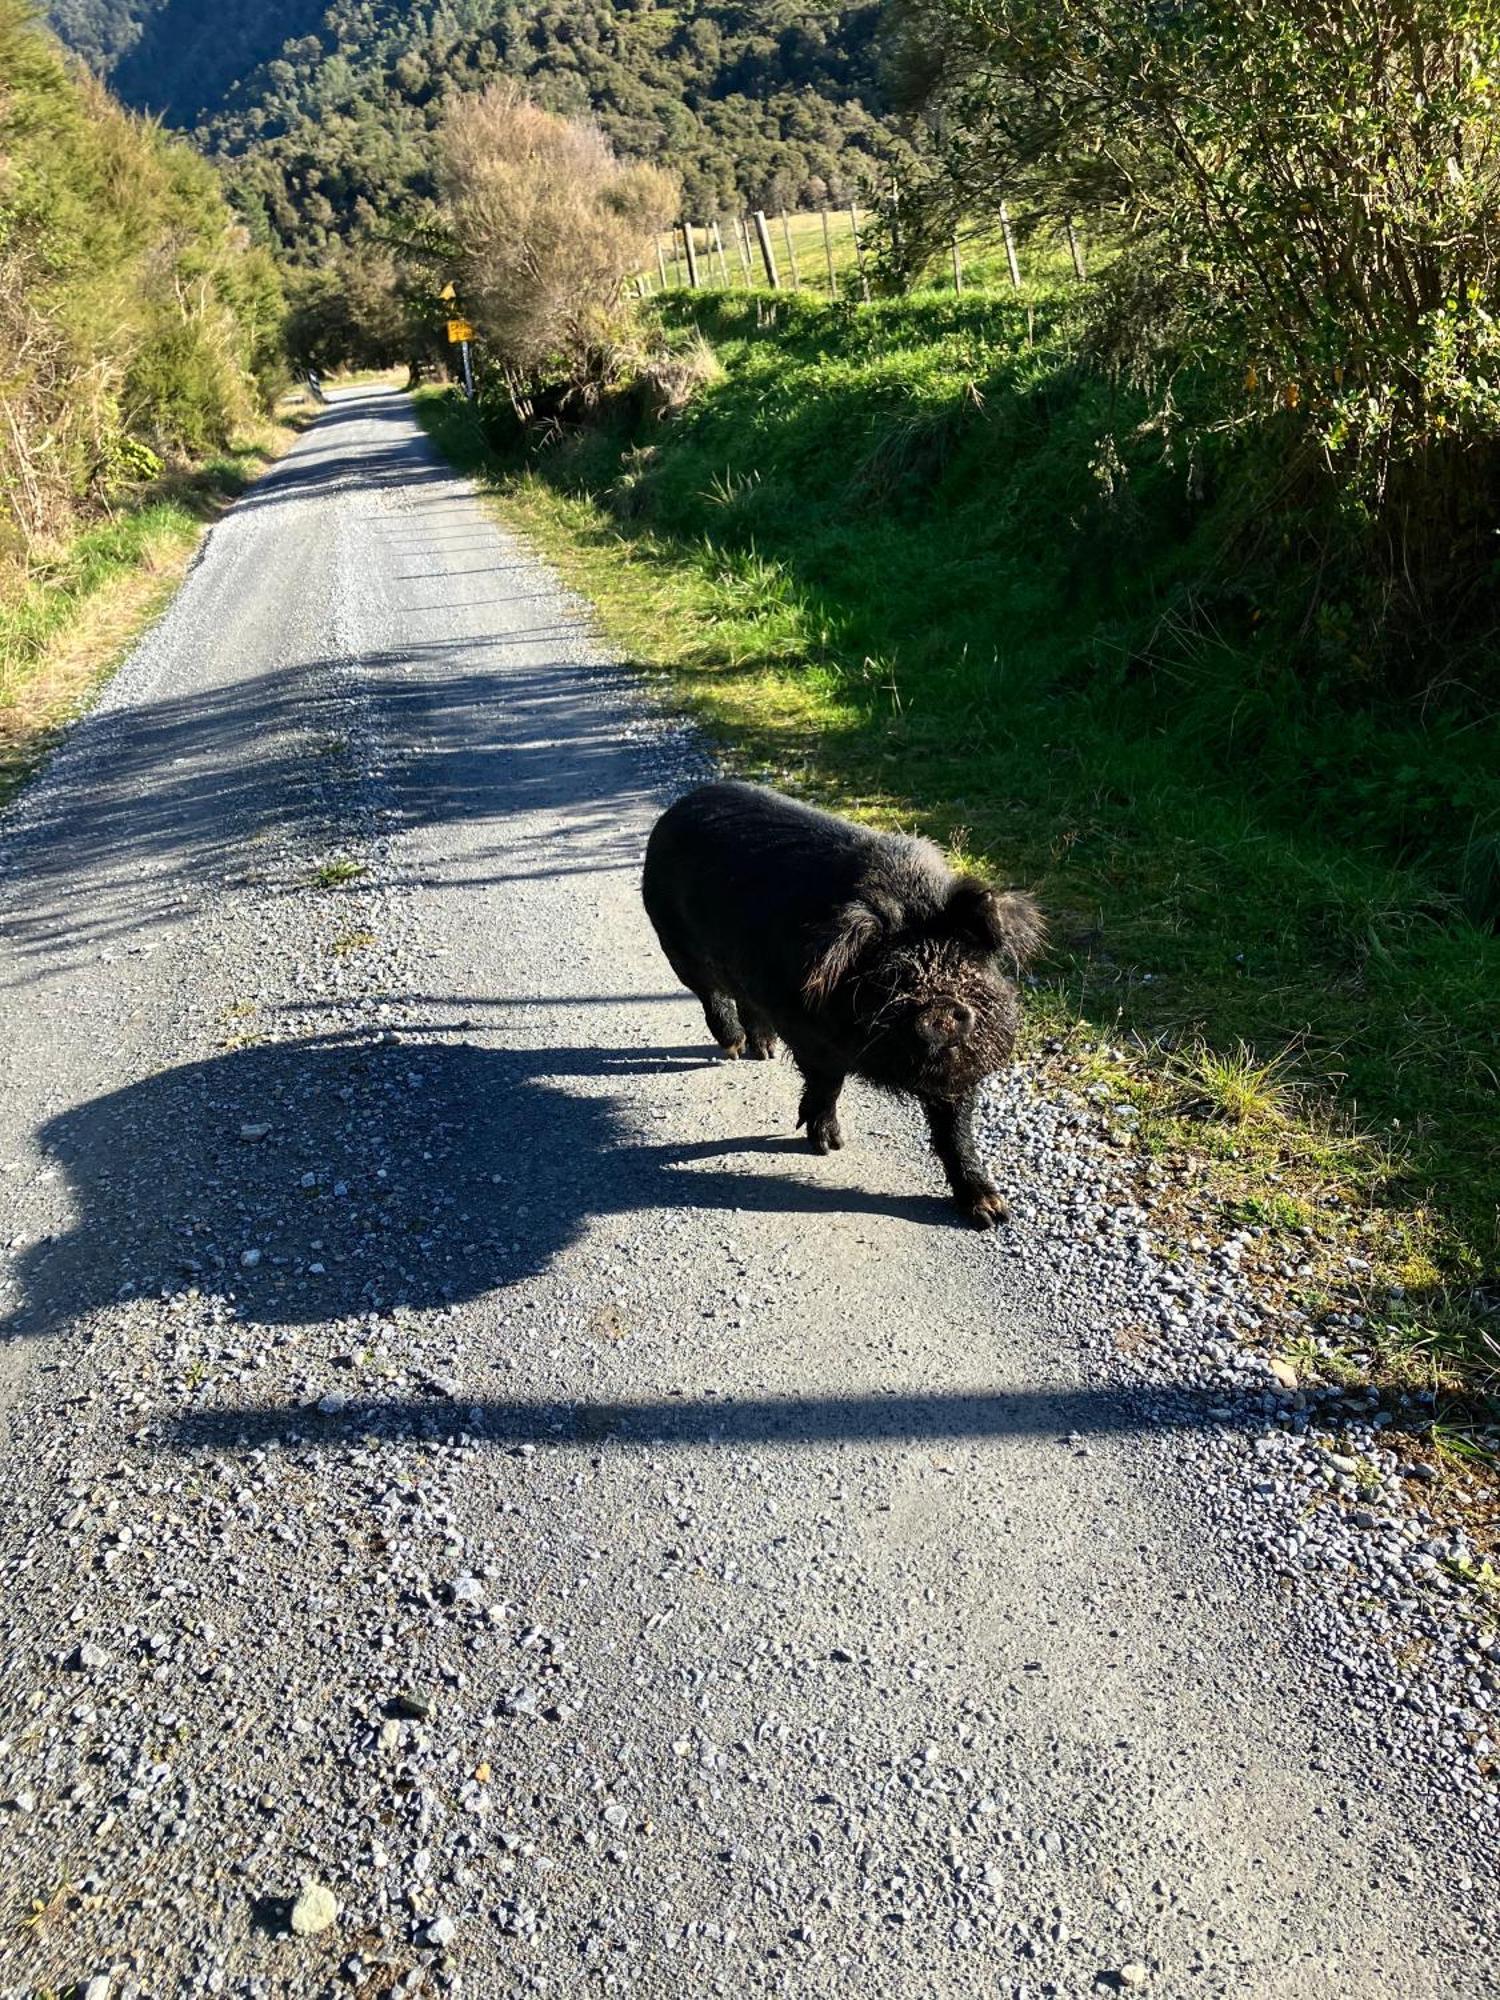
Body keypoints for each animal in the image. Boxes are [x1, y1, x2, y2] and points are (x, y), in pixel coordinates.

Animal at [644, 776, 1048, 1216]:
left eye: (967, 965)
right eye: (892, 976)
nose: (941, 1009)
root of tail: (683, 804)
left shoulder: (958, 1067)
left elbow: (955, 1126)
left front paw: (991, 1212)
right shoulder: (807, 1032)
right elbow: (828, 1082)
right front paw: (829, 1146)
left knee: (745, 998)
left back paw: (763, 1052)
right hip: (675, 940)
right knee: (710, 992)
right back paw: (734, 1049)